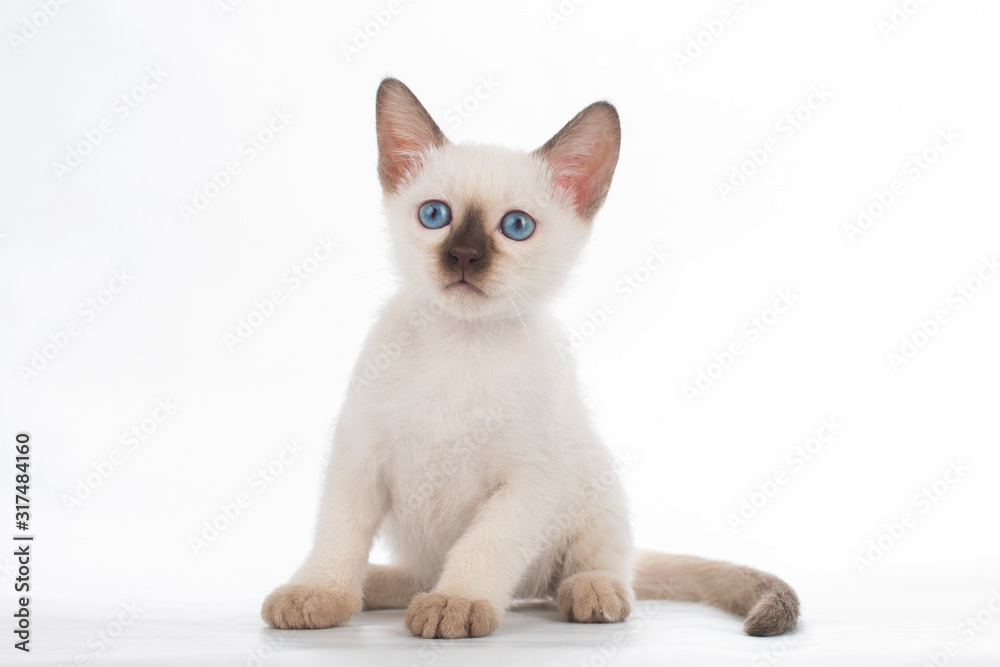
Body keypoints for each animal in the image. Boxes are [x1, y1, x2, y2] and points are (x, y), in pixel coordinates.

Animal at [262, 78, 800, 640]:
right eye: (434, 215)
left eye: (516, 226)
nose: (464, 257)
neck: (462, 346)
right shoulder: (359, 458)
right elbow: (338, 536)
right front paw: (320, 594)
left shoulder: (529, 482)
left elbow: (485, 546)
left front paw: (458, 601)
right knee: (417, 577)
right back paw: (374, 586)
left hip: (593, 486)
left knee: (600, 568)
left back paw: (591, 592)